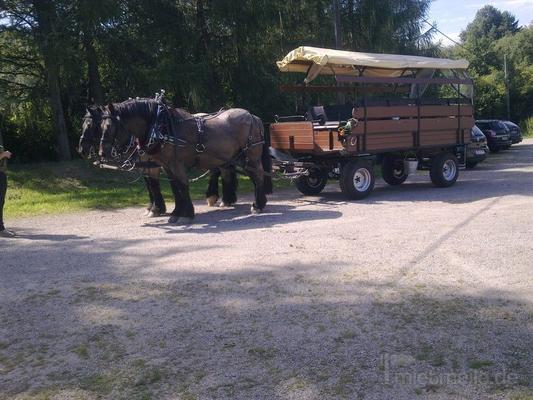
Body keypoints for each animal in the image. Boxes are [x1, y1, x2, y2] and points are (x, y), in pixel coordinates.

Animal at [76, 101, 237, 217]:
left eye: (91, 125)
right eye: (84, 124)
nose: (81, 149)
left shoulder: (155, 164)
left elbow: (155, 184)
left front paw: (157, 209)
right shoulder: (148, 164)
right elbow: (151, 184)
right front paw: (153, 208)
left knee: (219, 171)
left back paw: (219, 197)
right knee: (223, 170)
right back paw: (225, 198)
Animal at [98, 99, 272, 225]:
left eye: (110, 126)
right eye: (100, 125)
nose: (102, 153)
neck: (162, 126)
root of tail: (253, 117)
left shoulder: (176, 164)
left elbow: (182, 186)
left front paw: (186, 214)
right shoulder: (167, 166)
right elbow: (175, 188)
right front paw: (175, 212)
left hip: (250, 156)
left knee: (257, 176)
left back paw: (257, 205)